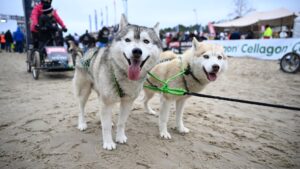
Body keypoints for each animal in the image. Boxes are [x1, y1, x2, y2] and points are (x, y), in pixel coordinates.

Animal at [72, 15, 162, 151]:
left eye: (146, 41)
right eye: (128, 40)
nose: (137, 51)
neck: (122, 75)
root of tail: (87, 51)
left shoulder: (127, 102)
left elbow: (121, 122)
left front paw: (120, 137)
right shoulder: (106, 101)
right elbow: (106, 127)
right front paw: (108, 143)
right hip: (84, 91)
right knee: (81, 108)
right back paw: (82, 123)